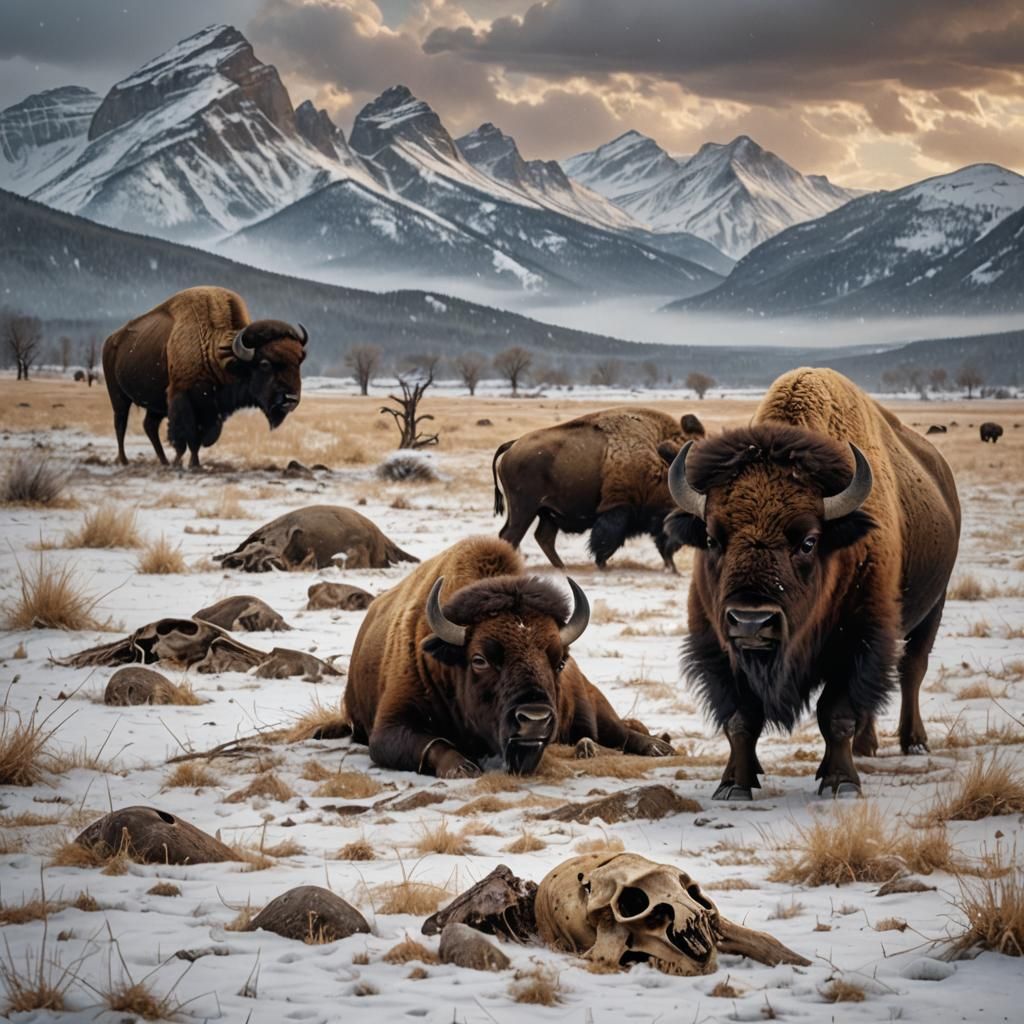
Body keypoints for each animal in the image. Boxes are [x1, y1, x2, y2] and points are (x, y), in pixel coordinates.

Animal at [103, 286, 307, 468]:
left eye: (299, 361)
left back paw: (163, 461)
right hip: (118, 396)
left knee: (149, 426)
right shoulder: (181, 398)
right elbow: (185, 438)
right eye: (265, 364)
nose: (291, 399)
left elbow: (200, 440)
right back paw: (125, 461)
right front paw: (182, 464)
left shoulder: (211, 410)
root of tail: (111, 340)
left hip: (155, 405)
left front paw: (191, 464)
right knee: (120, 424)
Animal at [344, 536, 673, 778]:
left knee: (619, 732)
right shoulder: (389, 729)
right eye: (479, 659)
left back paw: (658, 747)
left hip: (594, 706)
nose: (535, 720)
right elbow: (433, 744)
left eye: (560, 661)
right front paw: (463, 768)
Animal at [493, 408, 705, 571]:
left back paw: (562, 568)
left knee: (542, 538)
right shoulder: (618, 508)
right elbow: (605, 542)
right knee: (512, 536)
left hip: (545, 513)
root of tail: (513, 445)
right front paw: (603, 565)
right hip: (524, 510)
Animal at [665, 368, 960, 798]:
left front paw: (841, 782)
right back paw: (867, 745)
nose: (752, 621)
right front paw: (734, 784)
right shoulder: (717, 647)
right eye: (712, 539)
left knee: (911, 672)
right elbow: (740, 719)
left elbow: (836, 714)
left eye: (808, 541)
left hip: (931, 611)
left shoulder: (858, 638)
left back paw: (914, 743)